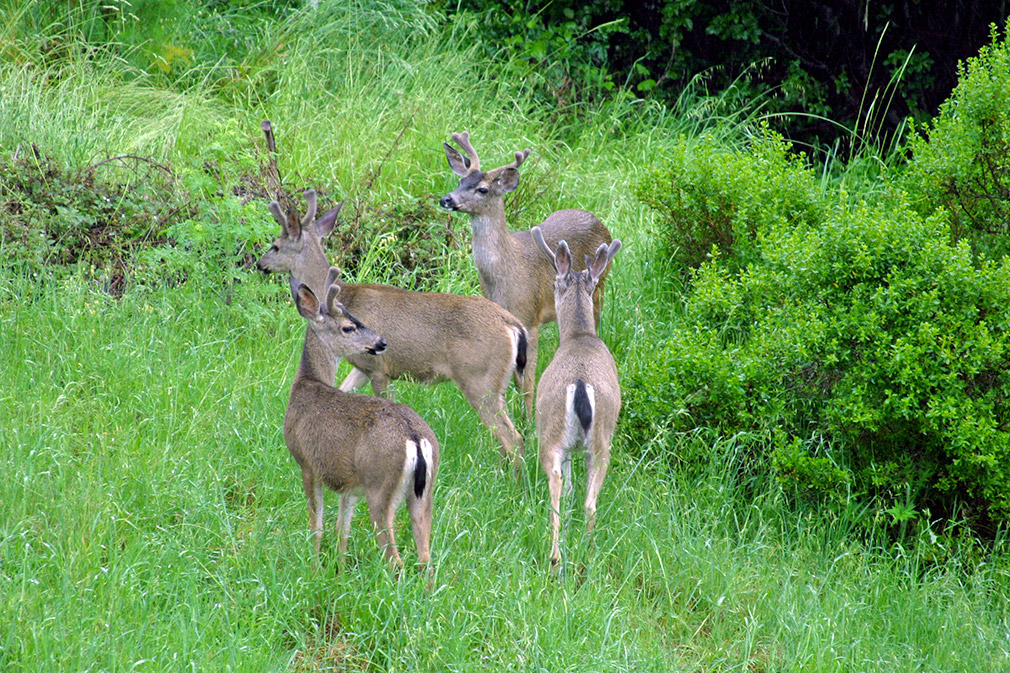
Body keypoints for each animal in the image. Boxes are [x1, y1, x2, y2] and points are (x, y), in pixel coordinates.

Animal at [256, 188, 529, 468]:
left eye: (275, 246)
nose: (260, 263)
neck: (345, 296)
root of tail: (512, 325)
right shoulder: (362, 367)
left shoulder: (379, 368)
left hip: (480, 379)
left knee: (511, 438)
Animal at [286, 266, 440, 565]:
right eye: (348, 326)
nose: (381, 342)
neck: (307, 383)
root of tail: (415, 439)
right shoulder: (349, 484)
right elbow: (341, 530)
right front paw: (339, 569)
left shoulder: (307, 463)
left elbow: (317, 526)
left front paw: (314, 567)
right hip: (423, 491)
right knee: (425, 557)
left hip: (380, 485)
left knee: (395, 559)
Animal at [438, 129, 610, 414]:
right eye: (461, 180)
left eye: (483, 189)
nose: (446, 199)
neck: (507, 273)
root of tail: (596, 219)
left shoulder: (529, 319)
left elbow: (528, 381)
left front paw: (528, 419)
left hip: (600, 286)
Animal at [529, 225, 622, 565]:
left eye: (555, 283)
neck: (580, 336)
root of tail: (581, 385)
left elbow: (567, 487)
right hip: (602, 439)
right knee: (590, 502)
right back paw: (588, 553)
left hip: (551, 434)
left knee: (558, 487)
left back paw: (556, 556)